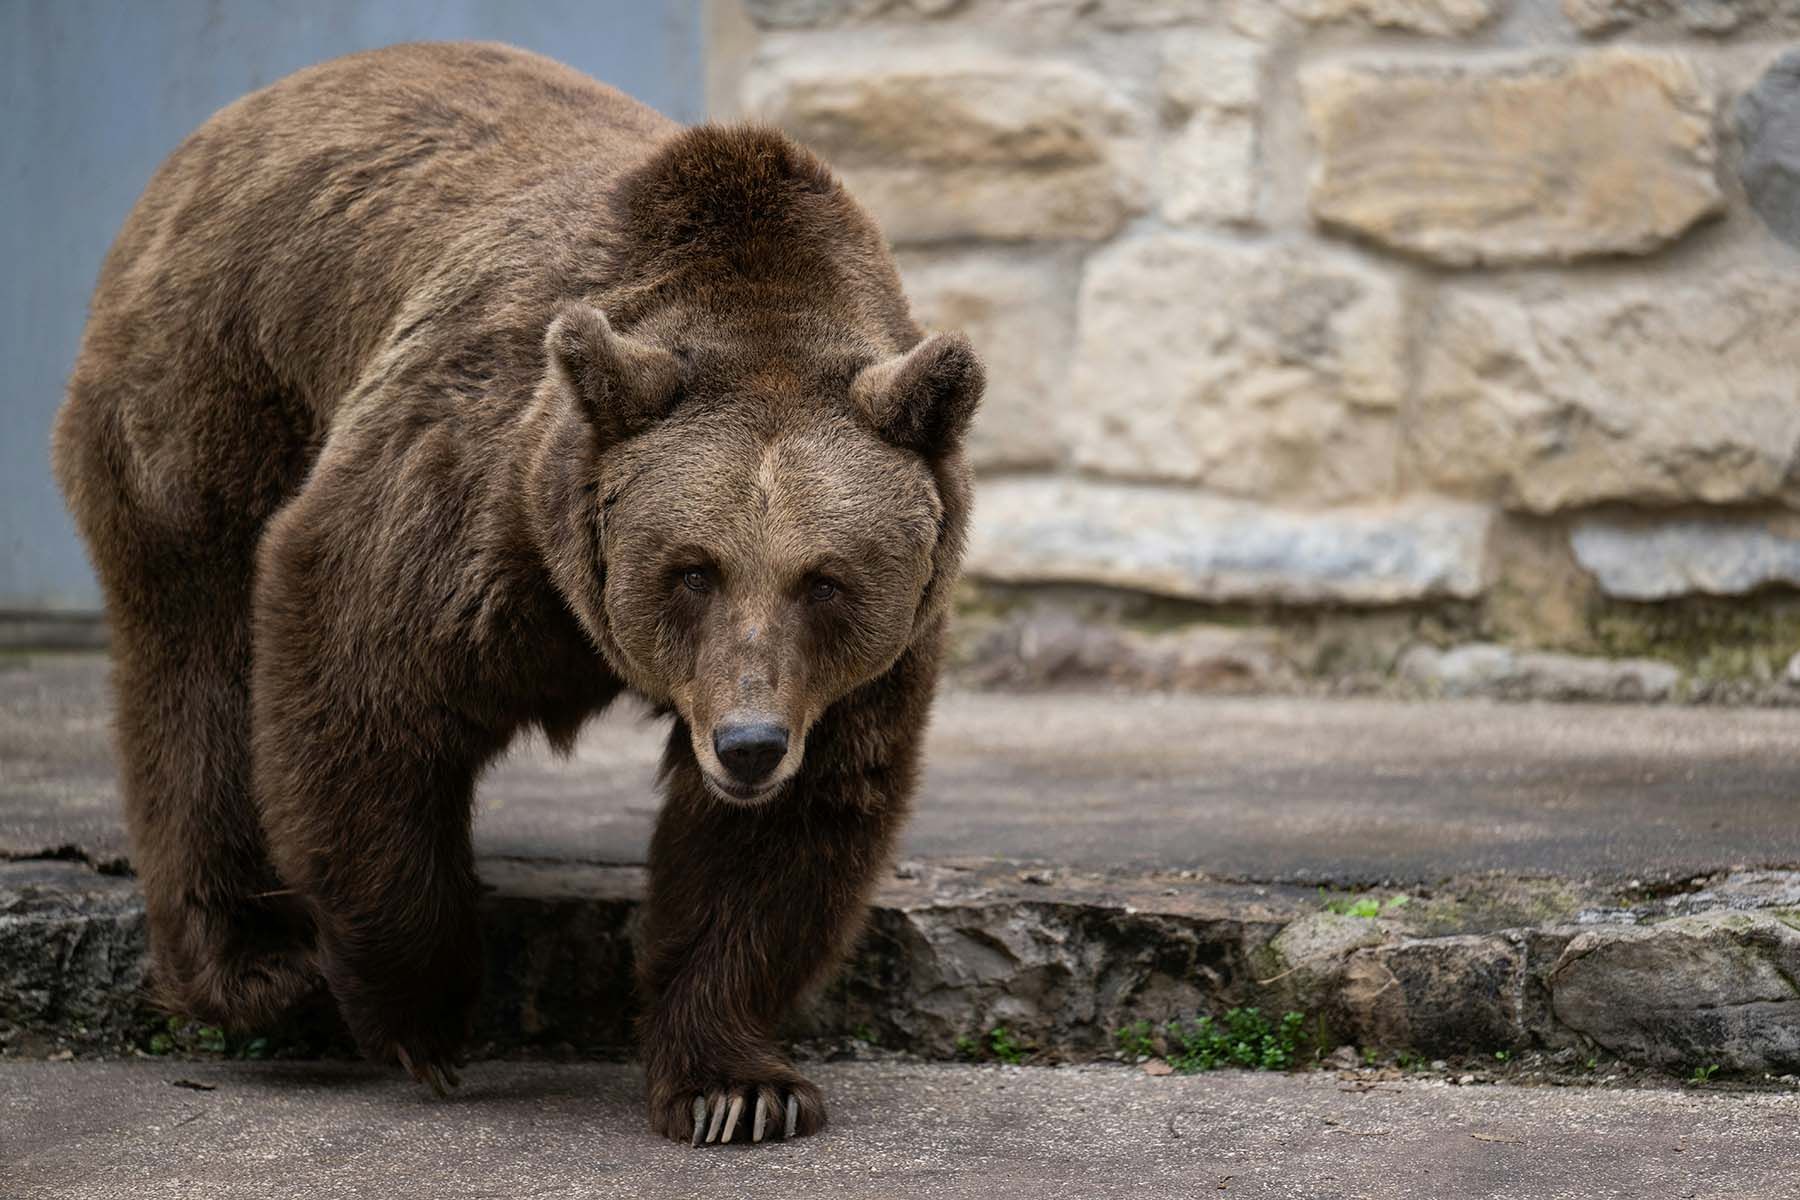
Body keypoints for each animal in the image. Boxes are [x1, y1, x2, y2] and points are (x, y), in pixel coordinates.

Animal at [50, 41, 981, 1145]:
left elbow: (783, 839)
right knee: (197, 663)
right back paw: (258, 964)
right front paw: (424, 1015)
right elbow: (365, 689)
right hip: (212, 386)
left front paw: (736, 1086)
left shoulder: (860, 669)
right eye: (692, 568)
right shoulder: (476, 500)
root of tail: (238, 116)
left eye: (825, 580)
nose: (748, 743)